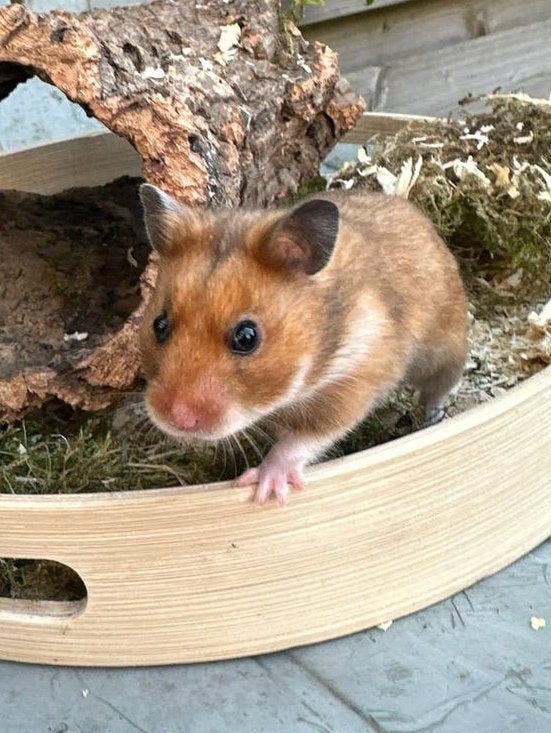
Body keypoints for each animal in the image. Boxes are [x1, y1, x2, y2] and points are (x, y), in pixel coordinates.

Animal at [138, 184, 468, 505]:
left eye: (247, 337)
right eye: (159, 325)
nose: (177, 420)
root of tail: (413, 211)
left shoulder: (353, 383)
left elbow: (301, 440)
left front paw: (264, 489)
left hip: (445, 350)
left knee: (439, 388)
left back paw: (434, 419)